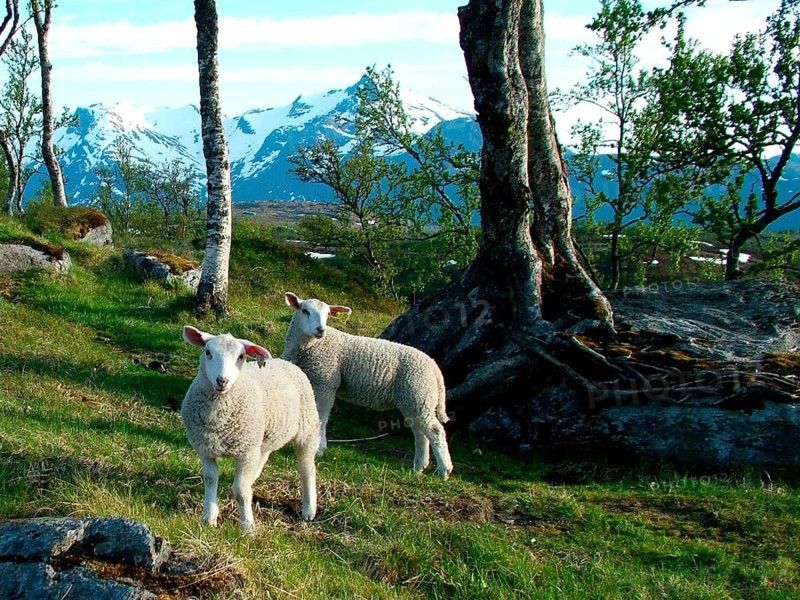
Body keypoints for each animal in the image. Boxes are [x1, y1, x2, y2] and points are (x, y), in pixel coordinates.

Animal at [181, 325, 320, 532]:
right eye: (207, 352)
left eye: (241, 356)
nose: (222, 381)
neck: (218, 419)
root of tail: (284, 361)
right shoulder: (205, 449)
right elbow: (211, 479)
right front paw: (209, 517)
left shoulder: (246, 452)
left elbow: (240, 491)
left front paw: (247, 527)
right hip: (263, 437)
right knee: (263, 458)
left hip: (307, 428)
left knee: (306, 467)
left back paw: (309, 510)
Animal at [282, 292, 453, 480]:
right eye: (305, 311)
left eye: (327, 315)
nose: (321, 330)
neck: (311, 346)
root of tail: (434, 366)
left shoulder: (326, 383)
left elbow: (322, 417)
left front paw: (319, 449)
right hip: (413, 398)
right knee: (420, 432)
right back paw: (418, 467)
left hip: (419, 393)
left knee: (435, 430)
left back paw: (444, 470)